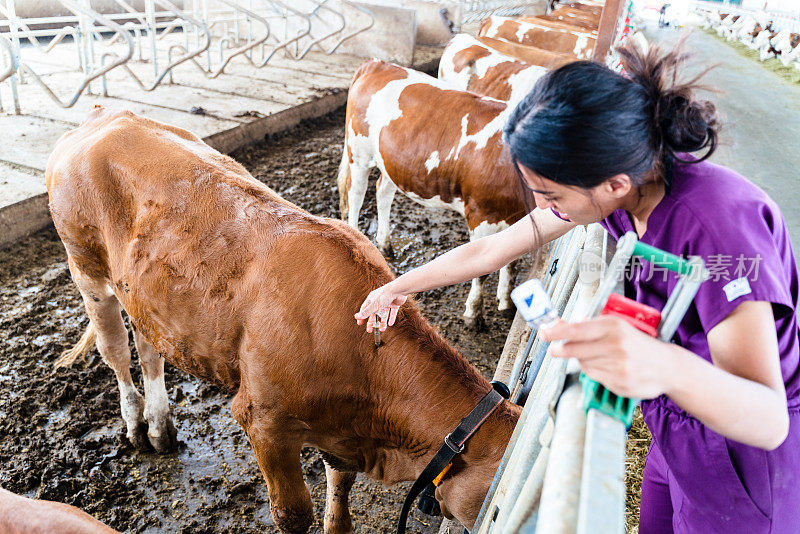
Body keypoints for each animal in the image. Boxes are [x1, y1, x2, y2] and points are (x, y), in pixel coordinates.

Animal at [47, 107, 520, 532]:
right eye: (497, 505)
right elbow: (294, 515)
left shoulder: (342, 435)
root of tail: (104, 117)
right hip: (86, 269)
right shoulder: (263, 422)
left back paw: (162, 427)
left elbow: (339, 503)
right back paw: (136, 425)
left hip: (142, 293)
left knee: (150, 349)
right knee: (114, 350)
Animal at [340, 60, 532, 328]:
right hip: (359, 152)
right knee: (356, 195)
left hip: (391, 161)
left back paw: (385, 243)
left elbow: (511, 262)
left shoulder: (517, 217)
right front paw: (474, 314)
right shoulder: (482, 214)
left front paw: (506, 302)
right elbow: (482, 271)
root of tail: (378, 64)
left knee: (383, 192)